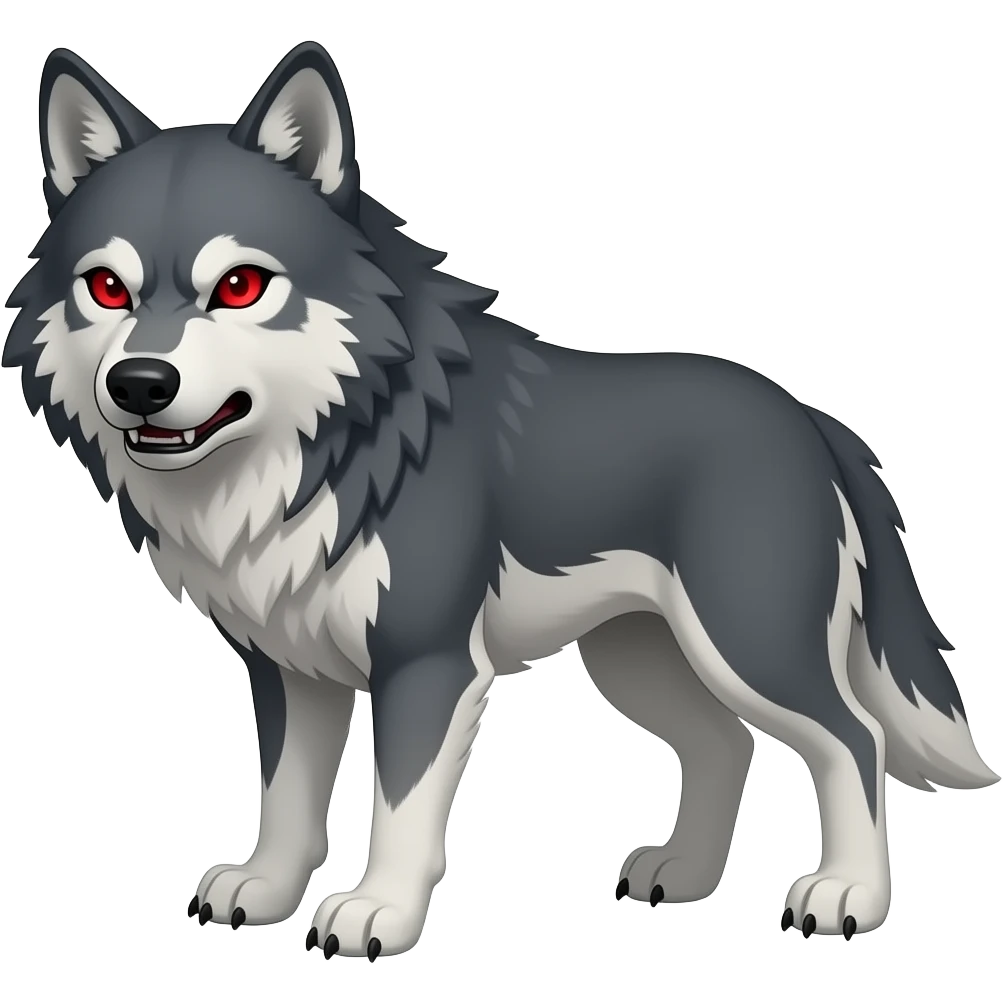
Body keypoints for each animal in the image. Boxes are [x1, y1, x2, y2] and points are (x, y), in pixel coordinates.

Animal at [4, 40, 995, 959]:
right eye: (107, 288)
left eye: (240, 285)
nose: (138, 382)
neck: (331, 442)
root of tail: (810, 418)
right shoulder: (288, 665)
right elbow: (286, 796)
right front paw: (266, 889)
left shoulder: (428, 663)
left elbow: (398, 804)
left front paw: (377, 913)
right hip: (637, 659)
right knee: (727, 743)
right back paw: (683, 872)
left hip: (746, 642)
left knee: (851, 738)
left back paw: (846, 894)